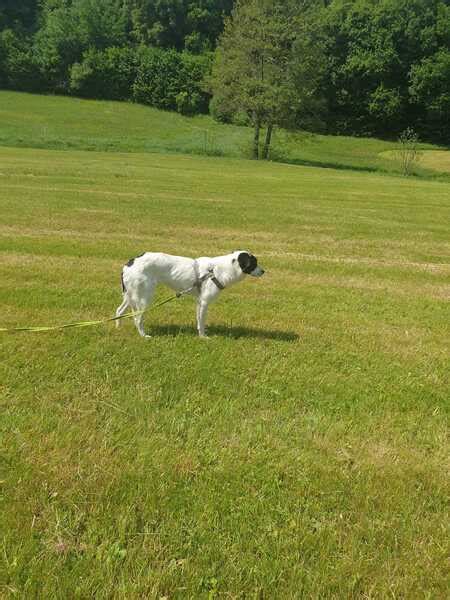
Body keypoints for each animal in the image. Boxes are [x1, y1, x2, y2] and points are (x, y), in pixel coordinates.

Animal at [114, 250, 266, 338]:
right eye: (254, 263)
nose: (264, 271)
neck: (222, 269)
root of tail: (130, 262)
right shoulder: (204, 302)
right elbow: (202, 322)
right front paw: (203, 337)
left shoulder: (199, 302)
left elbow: (199, 320)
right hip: (144, 297)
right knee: (137, 318)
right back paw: (144, 335)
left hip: (131, 295)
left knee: (119, 311)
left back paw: (118, 328)